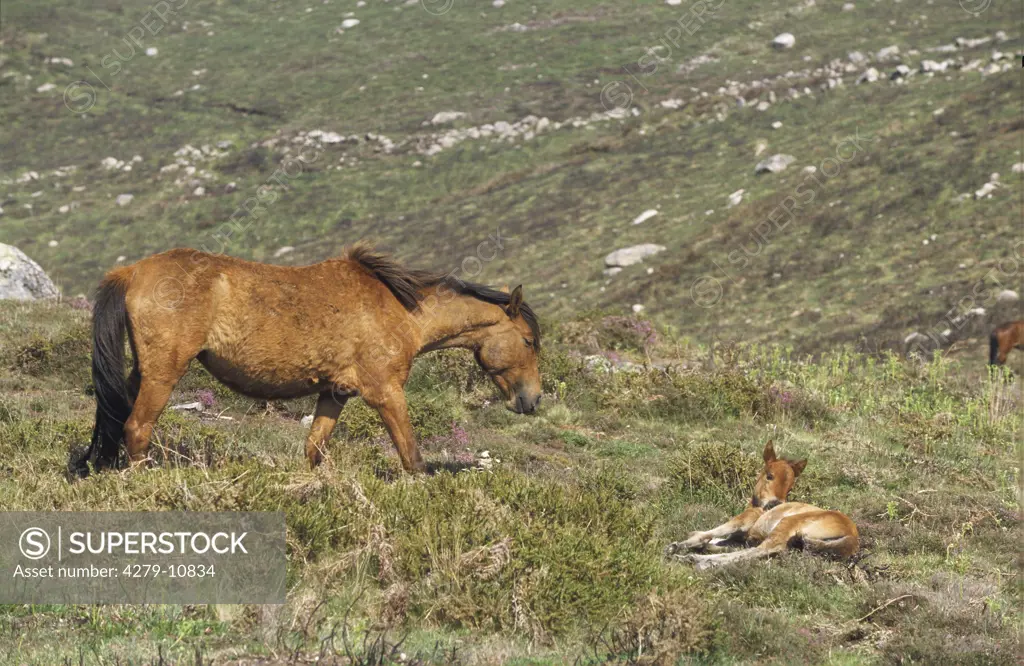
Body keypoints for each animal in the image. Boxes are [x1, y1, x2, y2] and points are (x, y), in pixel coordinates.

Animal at [663, 438, 856, 569]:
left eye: (790, 486)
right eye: (769, 476)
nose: (774, 504)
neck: (756, 506)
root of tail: (853, 536)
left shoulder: (744, 519)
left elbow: (709, 534)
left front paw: (676, 546)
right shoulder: (741, 539)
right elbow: (717, 541)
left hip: (788, 523)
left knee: (764, 548)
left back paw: (697, 561)